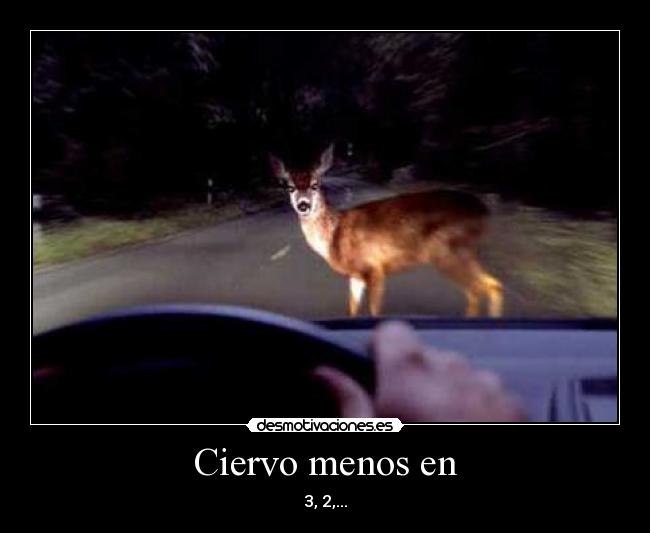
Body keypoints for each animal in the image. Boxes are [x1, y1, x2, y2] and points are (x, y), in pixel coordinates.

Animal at [269, 145, 503, 318]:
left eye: (315, 184)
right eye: (289, 187)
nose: (303, 205)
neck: (334, 237)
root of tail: (484, 210)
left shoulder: (374, 267)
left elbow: (375, 311)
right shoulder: (356, 275)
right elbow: (352, 309)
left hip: (447, 250)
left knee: (476, 290)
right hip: (462, 251)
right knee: (492, 285)